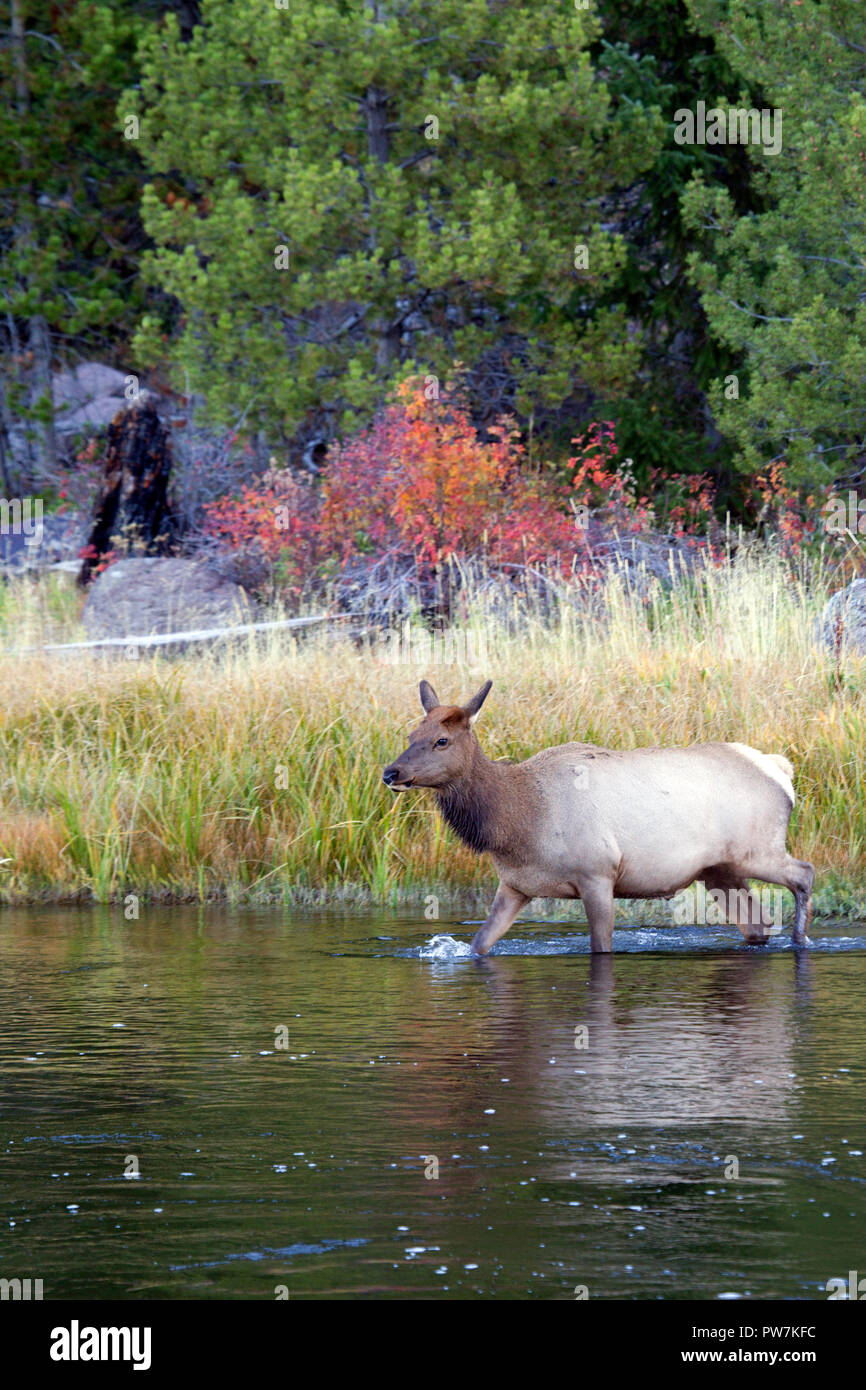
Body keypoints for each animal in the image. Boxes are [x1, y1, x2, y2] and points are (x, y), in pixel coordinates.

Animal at [382, 680, 814, 955]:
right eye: (410, 736)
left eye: (442, 740)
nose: (391, 772)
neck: (517, 821)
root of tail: (782, 770)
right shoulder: (516, 885)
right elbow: (478, 945)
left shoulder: (598, 873)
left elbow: (600, 947)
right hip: (720, 870)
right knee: (758, 924)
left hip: (757, 849)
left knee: (804, 873)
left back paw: (801, 941)